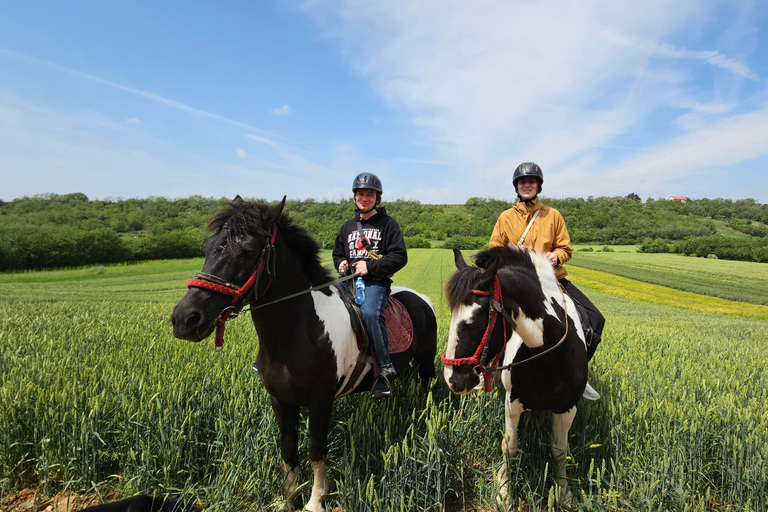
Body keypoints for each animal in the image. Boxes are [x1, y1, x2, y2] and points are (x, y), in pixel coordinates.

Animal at [170, 197, 436, 512]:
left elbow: (316, 450)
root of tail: (423, 299)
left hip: (427, 364)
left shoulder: (321, 400)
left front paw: (315, 501)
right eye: (208, 247)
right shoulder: (281, 401)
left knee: (429, 393)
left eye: (246, 252)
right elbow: (288, 450)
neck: (299, 332)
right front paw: (290, 499)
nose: (185, 319)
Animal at [438, 246, 588, 506]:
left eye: (471, 323)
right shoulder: (512, 402)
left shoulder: (568, 407)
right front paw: (504, 491)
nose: (452, 380)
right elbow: (509, 446)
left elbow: (560, 450)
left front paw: (563, 491)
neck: (550, 360)